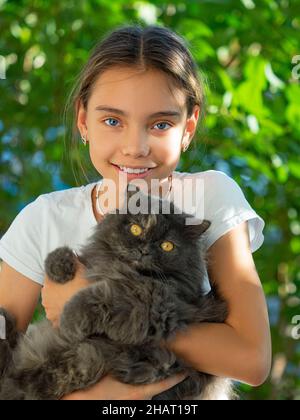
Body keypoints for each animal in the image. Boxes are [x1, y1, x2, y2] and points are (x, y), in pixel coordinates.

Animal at [0, 185, 234, 400]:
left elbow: (102, 298)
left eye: (167, 246)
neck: (123, 269)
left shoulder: (158, 304)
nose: (144, 250)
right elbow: (72, 256)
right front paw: (59, 266)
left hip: (92, 358)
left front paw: (69, 322)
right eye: (136, 229)